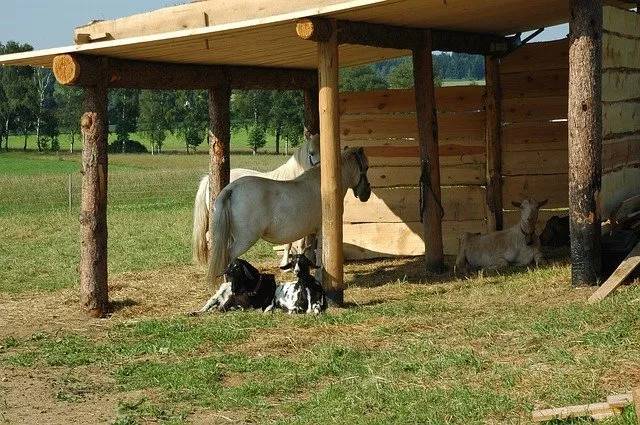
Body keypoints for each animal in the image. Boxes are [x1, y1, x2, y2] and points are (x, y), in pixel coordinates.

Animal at [199, 147, 370, 312]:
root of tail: (232, 189)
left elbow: (307, 252)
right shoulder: (321, 231)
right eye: (366, 167)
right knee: (229, 258)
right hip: (244, 240)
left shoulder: (310, 233)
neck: (324, 190)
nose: (366, 194)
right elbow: (320, 255)